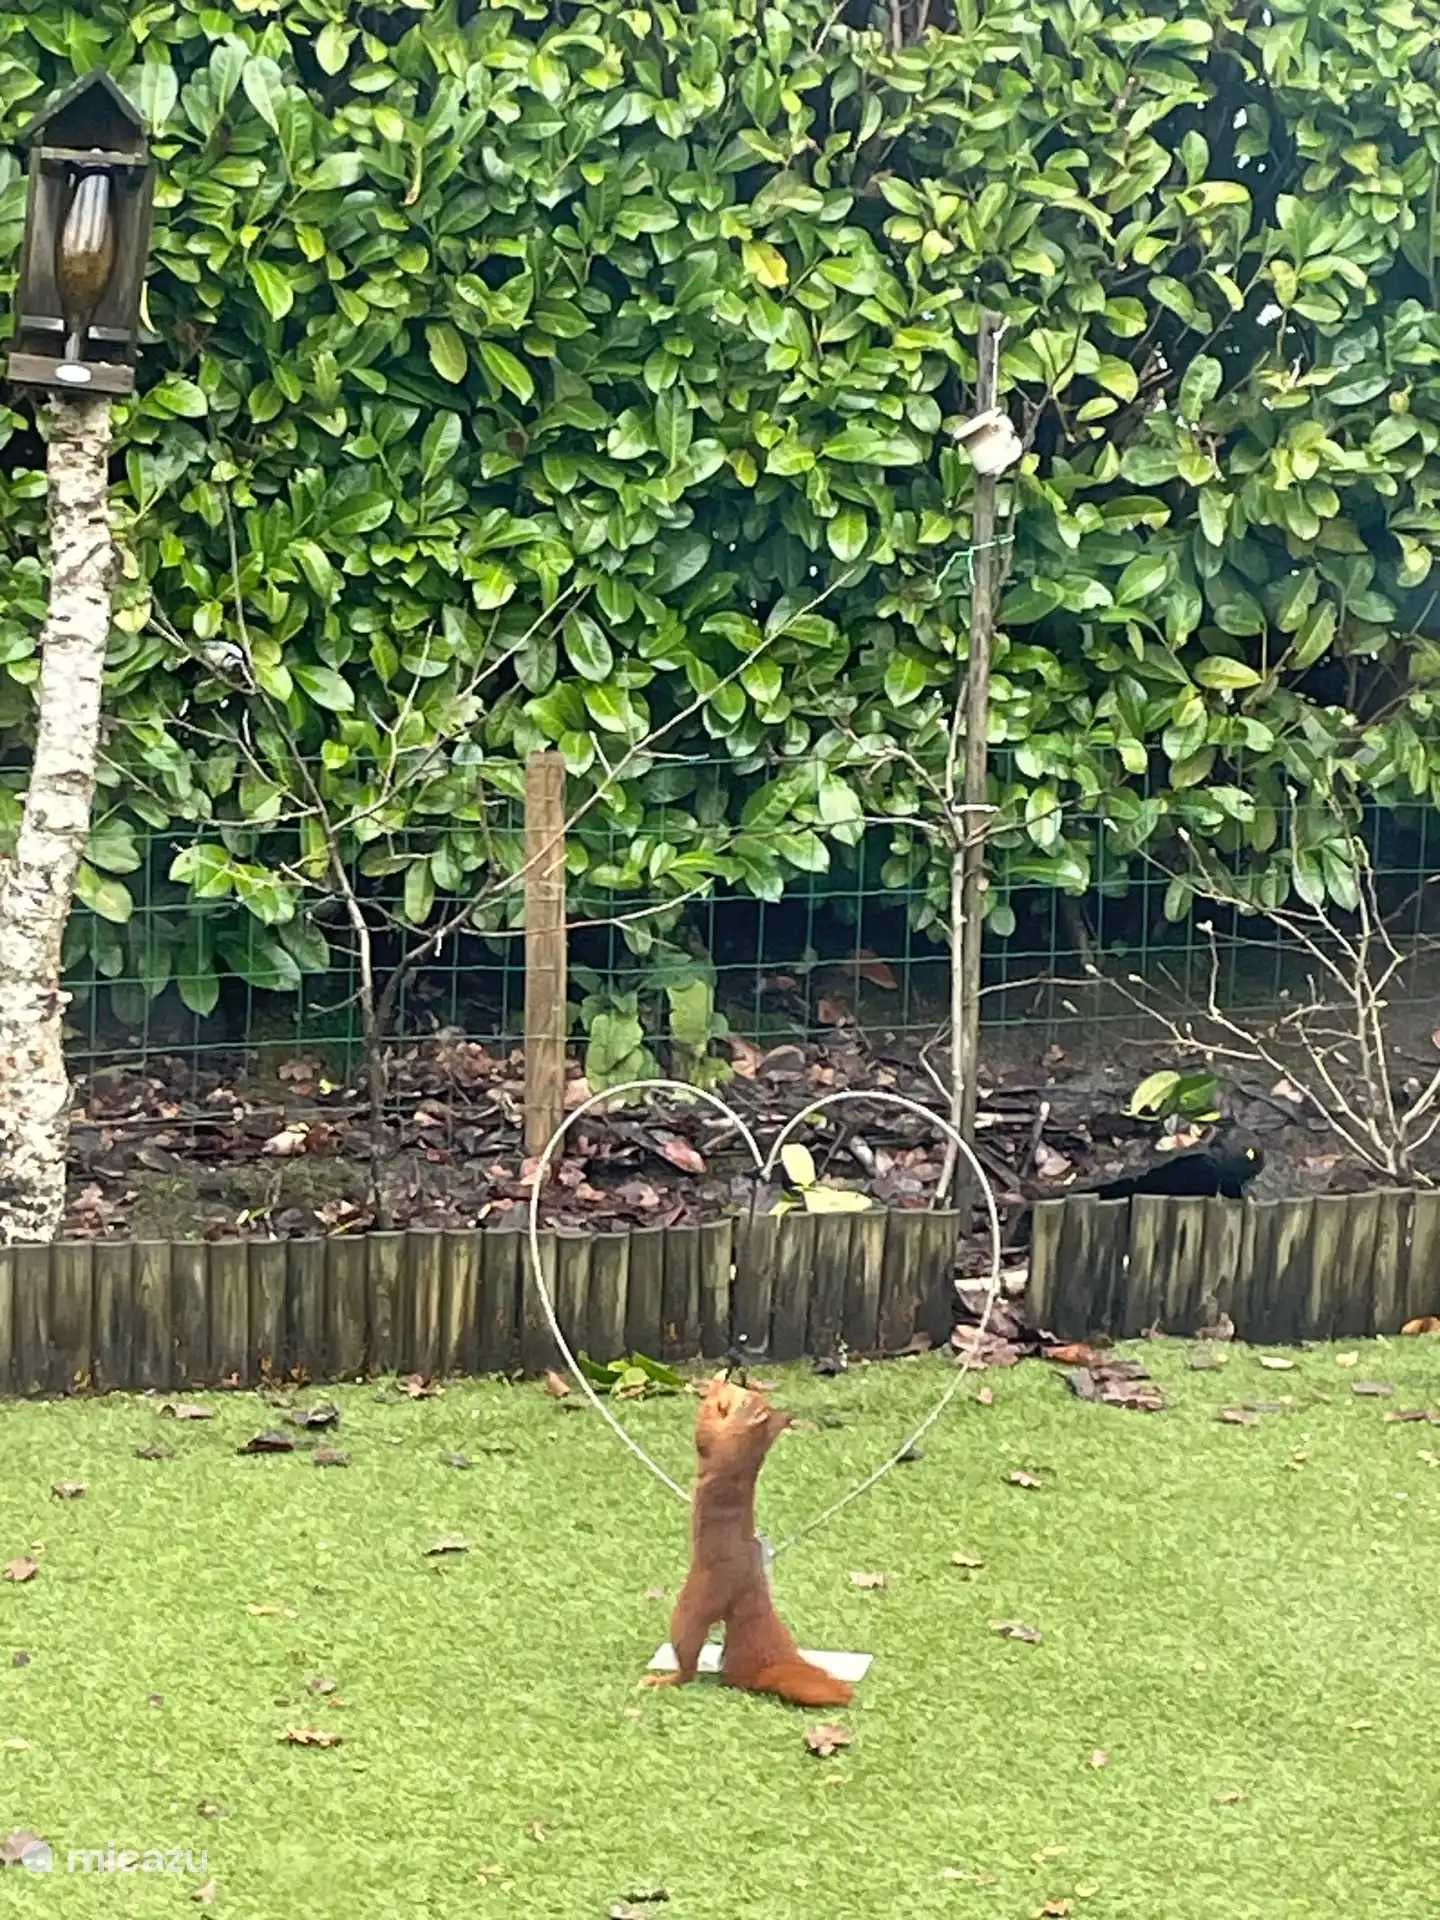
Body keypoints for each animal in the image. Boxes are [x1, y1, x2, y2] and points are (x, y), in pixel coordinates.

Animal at [642, 1375, 853, 1708]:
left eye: (746, 1400)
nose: (734, 1382)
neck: (752, 1445)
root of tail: (749, 1593)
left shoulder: (724, 1443)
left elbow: (706, 1433)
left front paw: (715, 1391)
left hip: (689, 1610)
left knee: (687, 1667)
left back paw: (661, 1680)